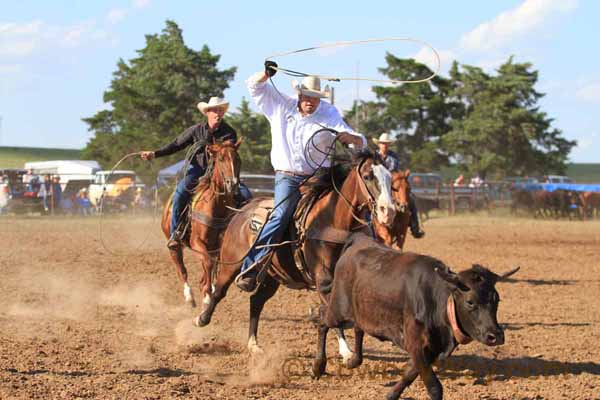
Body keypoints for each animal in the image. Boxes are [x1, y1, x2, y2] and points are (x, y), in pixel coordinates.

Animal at [162, 139, 244, 308]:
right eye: (221, 159)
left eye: (238, 159)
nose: (232, 184)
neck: (217, 205)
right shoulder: (196, 242)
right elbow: (208, 263)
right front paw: (206, 295)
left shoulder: (220, 245)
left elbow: (214, 266)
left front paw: (209, 290)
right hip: (174, 245)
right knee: (181, 269)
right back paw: (189, 296)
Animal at [195, 150, 396, 354]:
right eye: (367, 176)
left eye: (389, 178)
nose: (388, 211)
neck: (333, 222)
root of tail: (244, 209)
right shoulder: (322, 277)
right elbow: (330, 309)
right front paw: (346, 352)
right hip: (232, 263)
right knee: (219, 290)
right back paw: (201, 319)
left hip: (271, 276)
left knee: (256, 301)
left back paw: (253, 344)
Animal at [314, 231, 520, 400]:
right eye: (470, 302)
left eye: (497, 299)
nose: (495, 336)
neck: (437, 300)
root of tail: (358, 240)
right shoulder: (416, 344)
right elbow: (434, 387)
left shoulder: (429, 349)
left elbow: (409, 374)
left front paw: (391, 394)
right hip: (338, 309)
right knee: (323, 320)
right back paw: (318, 366)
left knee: (358, 329)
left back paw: (353, 360)